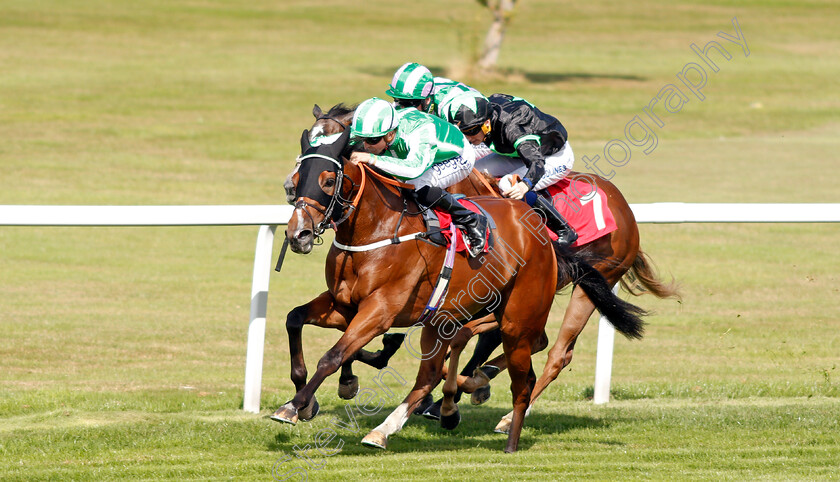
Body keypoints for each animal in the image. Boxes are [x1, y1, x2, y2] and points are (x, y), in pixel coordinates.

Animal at [276, 127, 644, 452]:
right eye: (296, 180)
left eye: (327, 181)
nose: (298, 234)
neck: (374, 230)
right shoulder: (343, 304)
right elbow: (296, 320)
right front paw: (313, 395)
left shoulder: (380, 311)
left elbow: (333, 355)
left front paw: (297, 404)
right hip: (455, 314)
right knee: (432, 372)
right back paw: (392, 426)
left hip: (544, 301)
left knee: (548, 355)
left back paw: (502, 423)